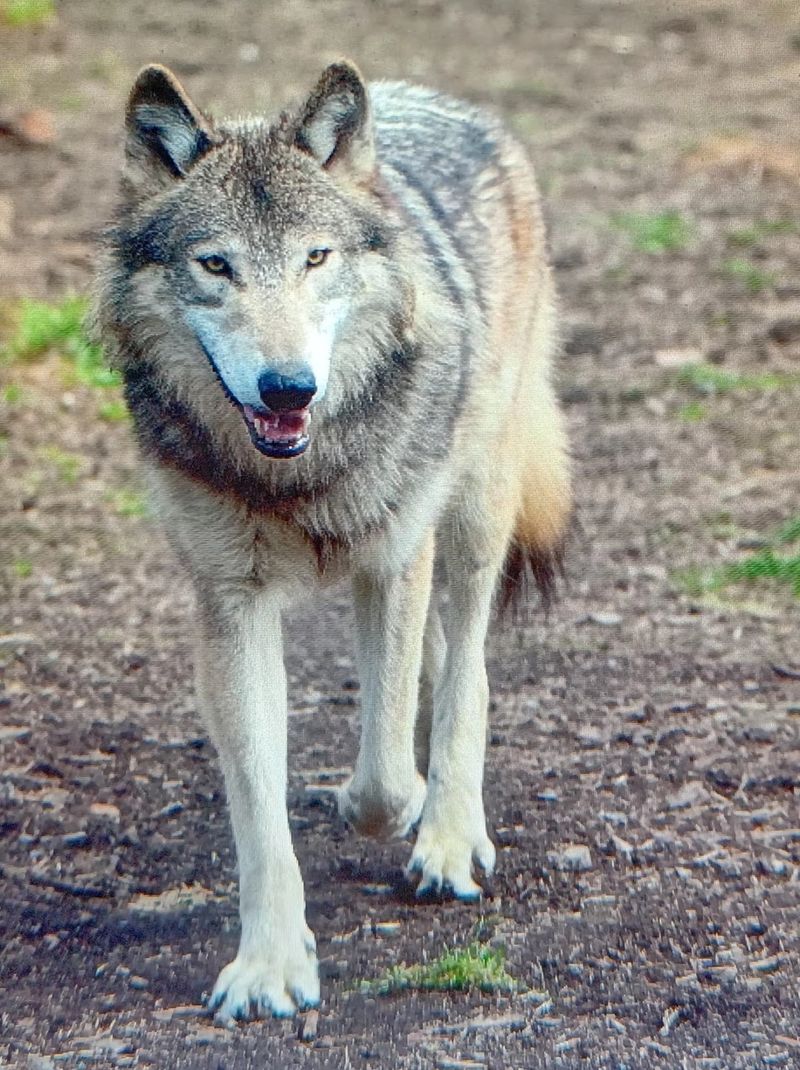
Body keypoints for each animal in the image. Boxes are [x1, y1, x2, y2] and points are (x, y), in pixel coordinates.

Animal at [95, 59, 571, 1021]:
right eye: (216, 265)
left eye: (316, 258)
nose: (288, 388)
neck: (295, 475)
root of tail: (433, 96)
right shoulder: (230, 605)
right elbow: (258, 811)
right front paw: (270, 967)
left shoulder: (395, 561)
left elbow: (384, 777)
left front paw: (401, 807)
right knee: (437, 661)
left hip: (470, 517)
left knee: (467, 667)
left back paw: (451, 835)